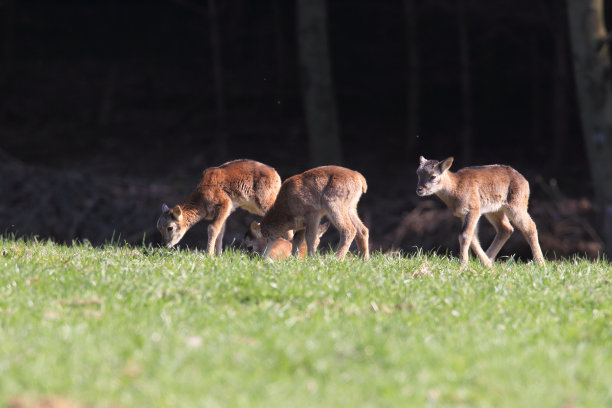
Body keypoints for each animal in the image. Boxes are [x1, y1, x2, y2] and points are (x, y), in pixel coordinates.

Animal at [416, 156, 544, 268]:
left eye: (433, 176)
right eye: (418, 174)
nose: (419, 190)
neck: (456, 188)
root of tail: (525, 180)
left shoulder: (473, 209)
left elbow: (465, 235)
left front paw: (463, 264)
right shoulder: (464, 214)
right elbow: (472, 237)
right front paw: (485, 263)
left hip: (516, 205)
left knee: (530, 226)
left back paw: (540, 263)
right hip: (494, 210)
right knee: (506, 229)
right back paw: (488, 260)